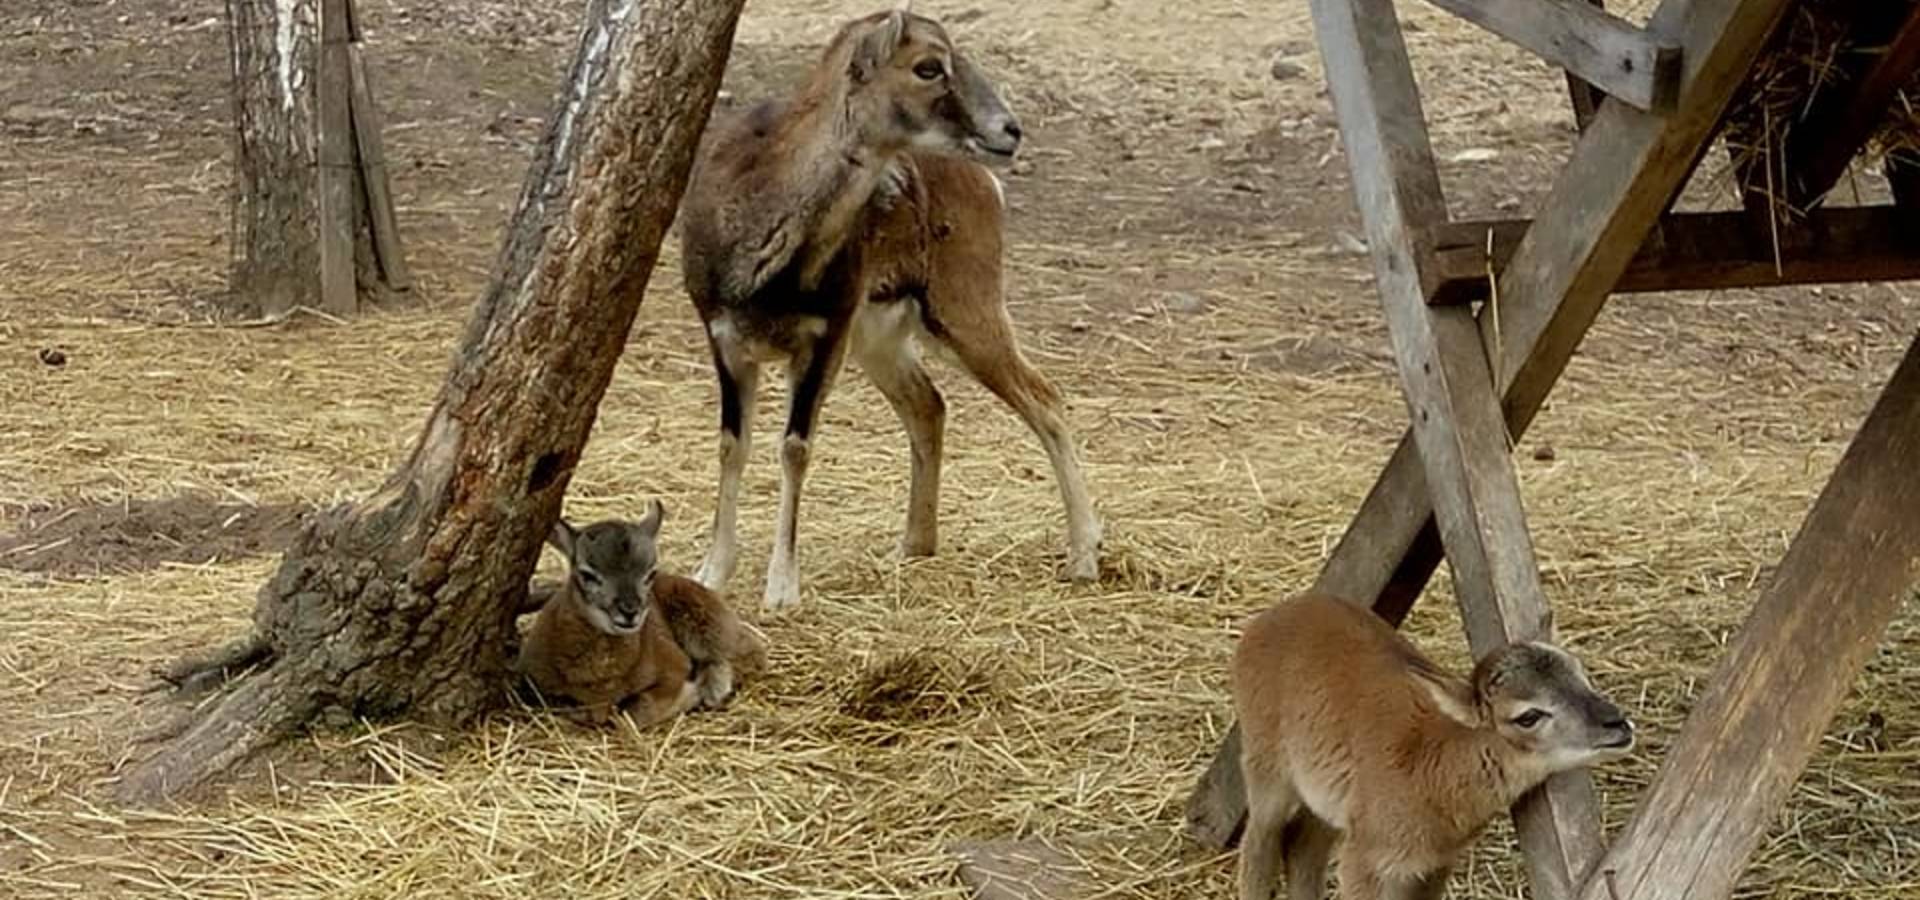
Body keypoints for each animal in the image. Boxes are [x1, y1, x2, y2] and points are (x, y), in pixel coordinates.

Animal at [683, 5, 1105, 610]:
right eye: (928, 67)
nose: (1009, 131)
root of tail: (986, 185)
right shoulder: (726, 340)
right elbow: (731, 447)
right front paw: (710, 574)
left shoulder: (823, 338)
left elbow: (794, 449)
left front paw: (782, 590)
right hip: (881, 341)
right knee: (928, 405)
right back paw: (913, 546)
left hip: (963, 315)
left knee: (1044, 398)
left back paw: (1084, 558)